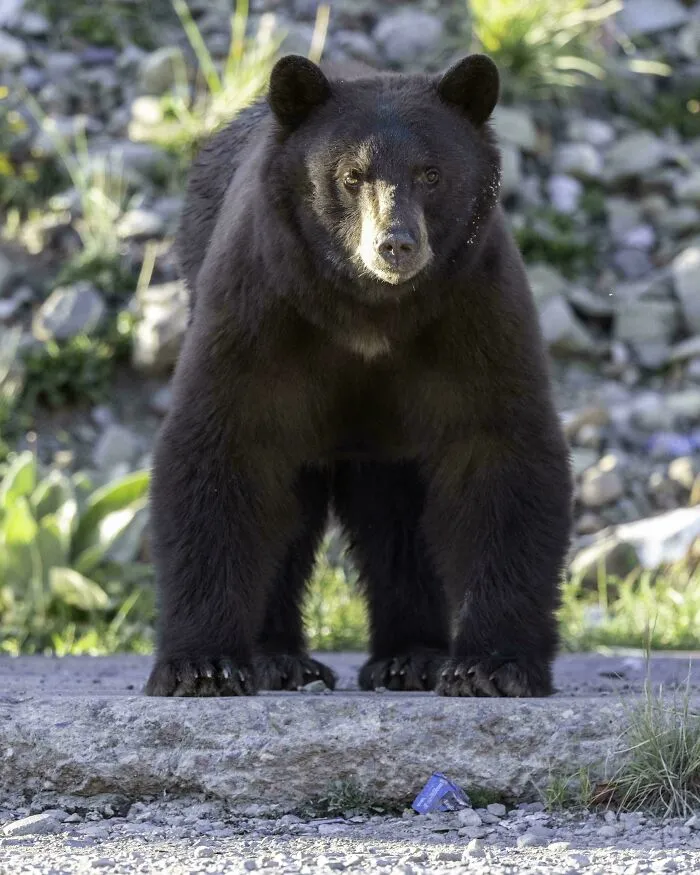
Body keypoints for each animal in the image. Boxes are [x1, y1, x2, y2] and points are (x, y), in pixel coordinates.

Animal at [144, 53, 573, 698]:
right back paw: (280, 658)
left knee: (396, 521)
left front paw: (493, 665)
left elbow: (501, 453)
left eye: (430, 173)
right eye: (350, 175)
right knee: (291, 512)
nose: (395, 245)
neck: (370, 314)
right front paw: (202, 665)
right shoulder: (257, 309)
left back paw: (411, 656)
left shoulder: (475, 311)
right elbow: (222, 449)